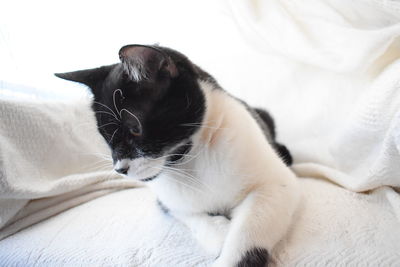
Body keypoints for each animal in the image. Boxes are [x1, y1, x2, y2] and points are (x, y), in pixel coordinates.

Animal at [56, 45, 300, 266]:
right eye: (105, 136)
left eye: (134, 129)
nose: (120, 169)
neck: (192, 162)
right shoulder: (166, 201)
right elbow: (189, 215)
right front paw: (220, 234)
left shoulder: (276, 185)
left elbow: (247, 234)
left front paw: (229, 250)